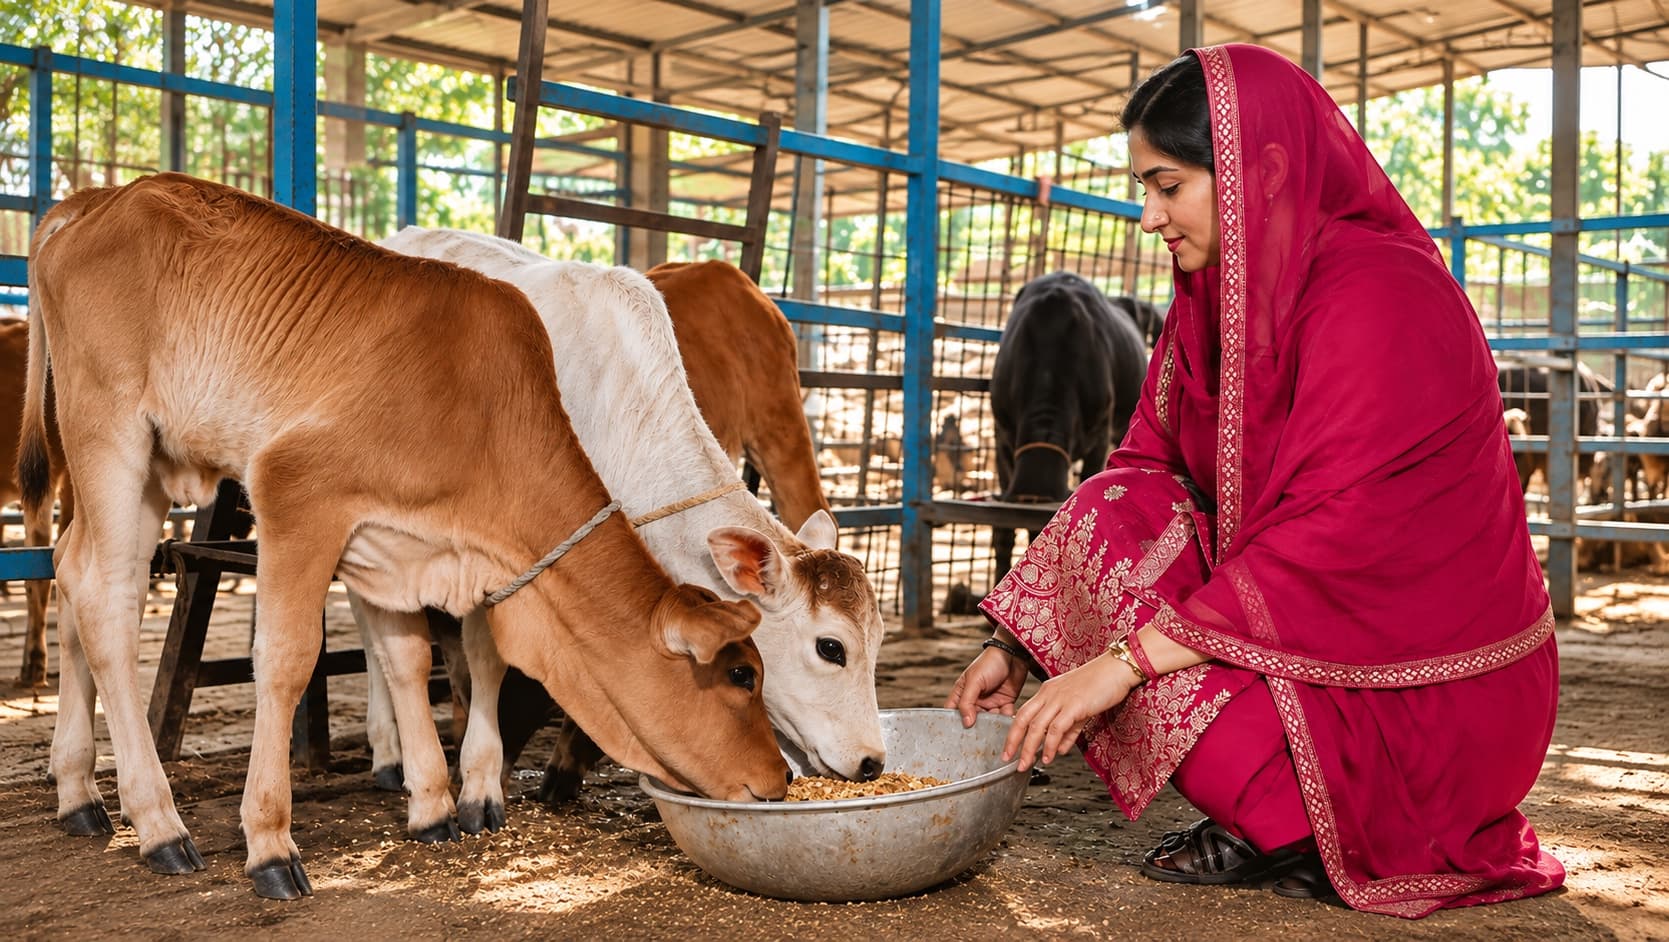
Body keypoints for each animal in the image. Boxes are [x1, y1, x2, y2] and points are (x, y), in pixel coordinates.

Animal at [19, 173, 787, 900]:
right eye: (741, 675)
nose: (779, 780)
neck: (483, 419)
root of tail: (105, 197)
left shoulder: (391, 546)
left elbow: (411, 658)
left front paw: (435, 807)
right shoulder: (297, 491)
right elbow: (288, 660)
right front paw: (270, 841)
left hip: (147, 466)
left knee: (79, 570)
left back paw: (80, 793)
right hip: (109, 433)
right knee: (105, 598)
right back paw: (159, 825)